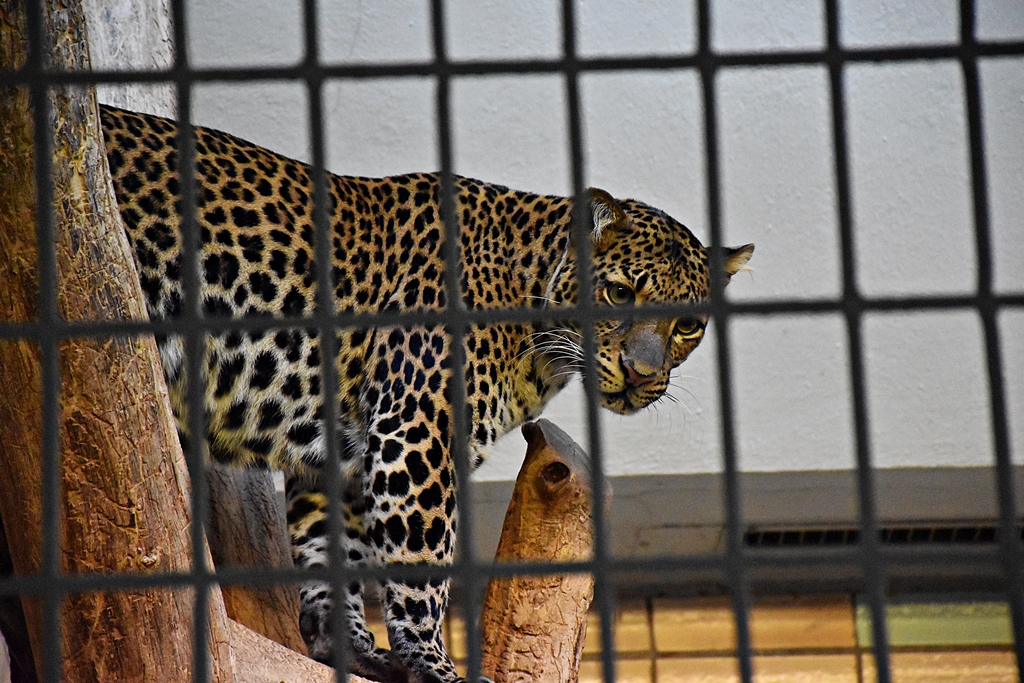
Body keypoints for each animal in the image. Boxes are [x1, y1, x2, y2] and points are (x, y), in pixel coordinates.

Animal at [99, 104, 754, 683]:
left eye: (688, 325)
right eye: (619, 293)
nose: (643, 373)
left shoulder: (343, 451)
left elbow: (332, 553)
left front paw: (356, 650)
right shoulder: (417, 431)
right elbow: (422, 565)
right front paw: (435, 665)